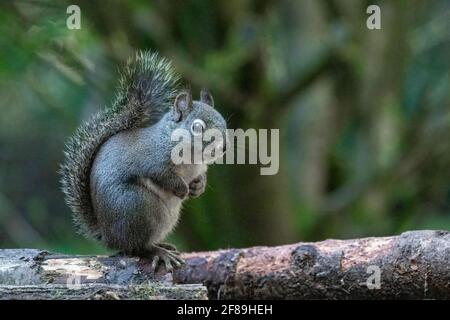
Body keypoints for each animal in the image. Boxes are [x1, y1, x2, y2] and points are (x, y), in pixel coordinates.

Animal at [59, 51, 227, 272]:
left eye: (224, 122)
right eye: (197, 127)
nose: (224, 147)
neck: (192, 156)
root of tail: (109, 237)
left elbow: (200, 177)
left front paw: (198, 187)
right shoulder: (153, 160)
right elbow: (163, 176)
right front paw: (182, 189)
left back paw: (163, 245)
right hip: (138, 207)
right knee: (137, 247)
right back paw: (158, 252)